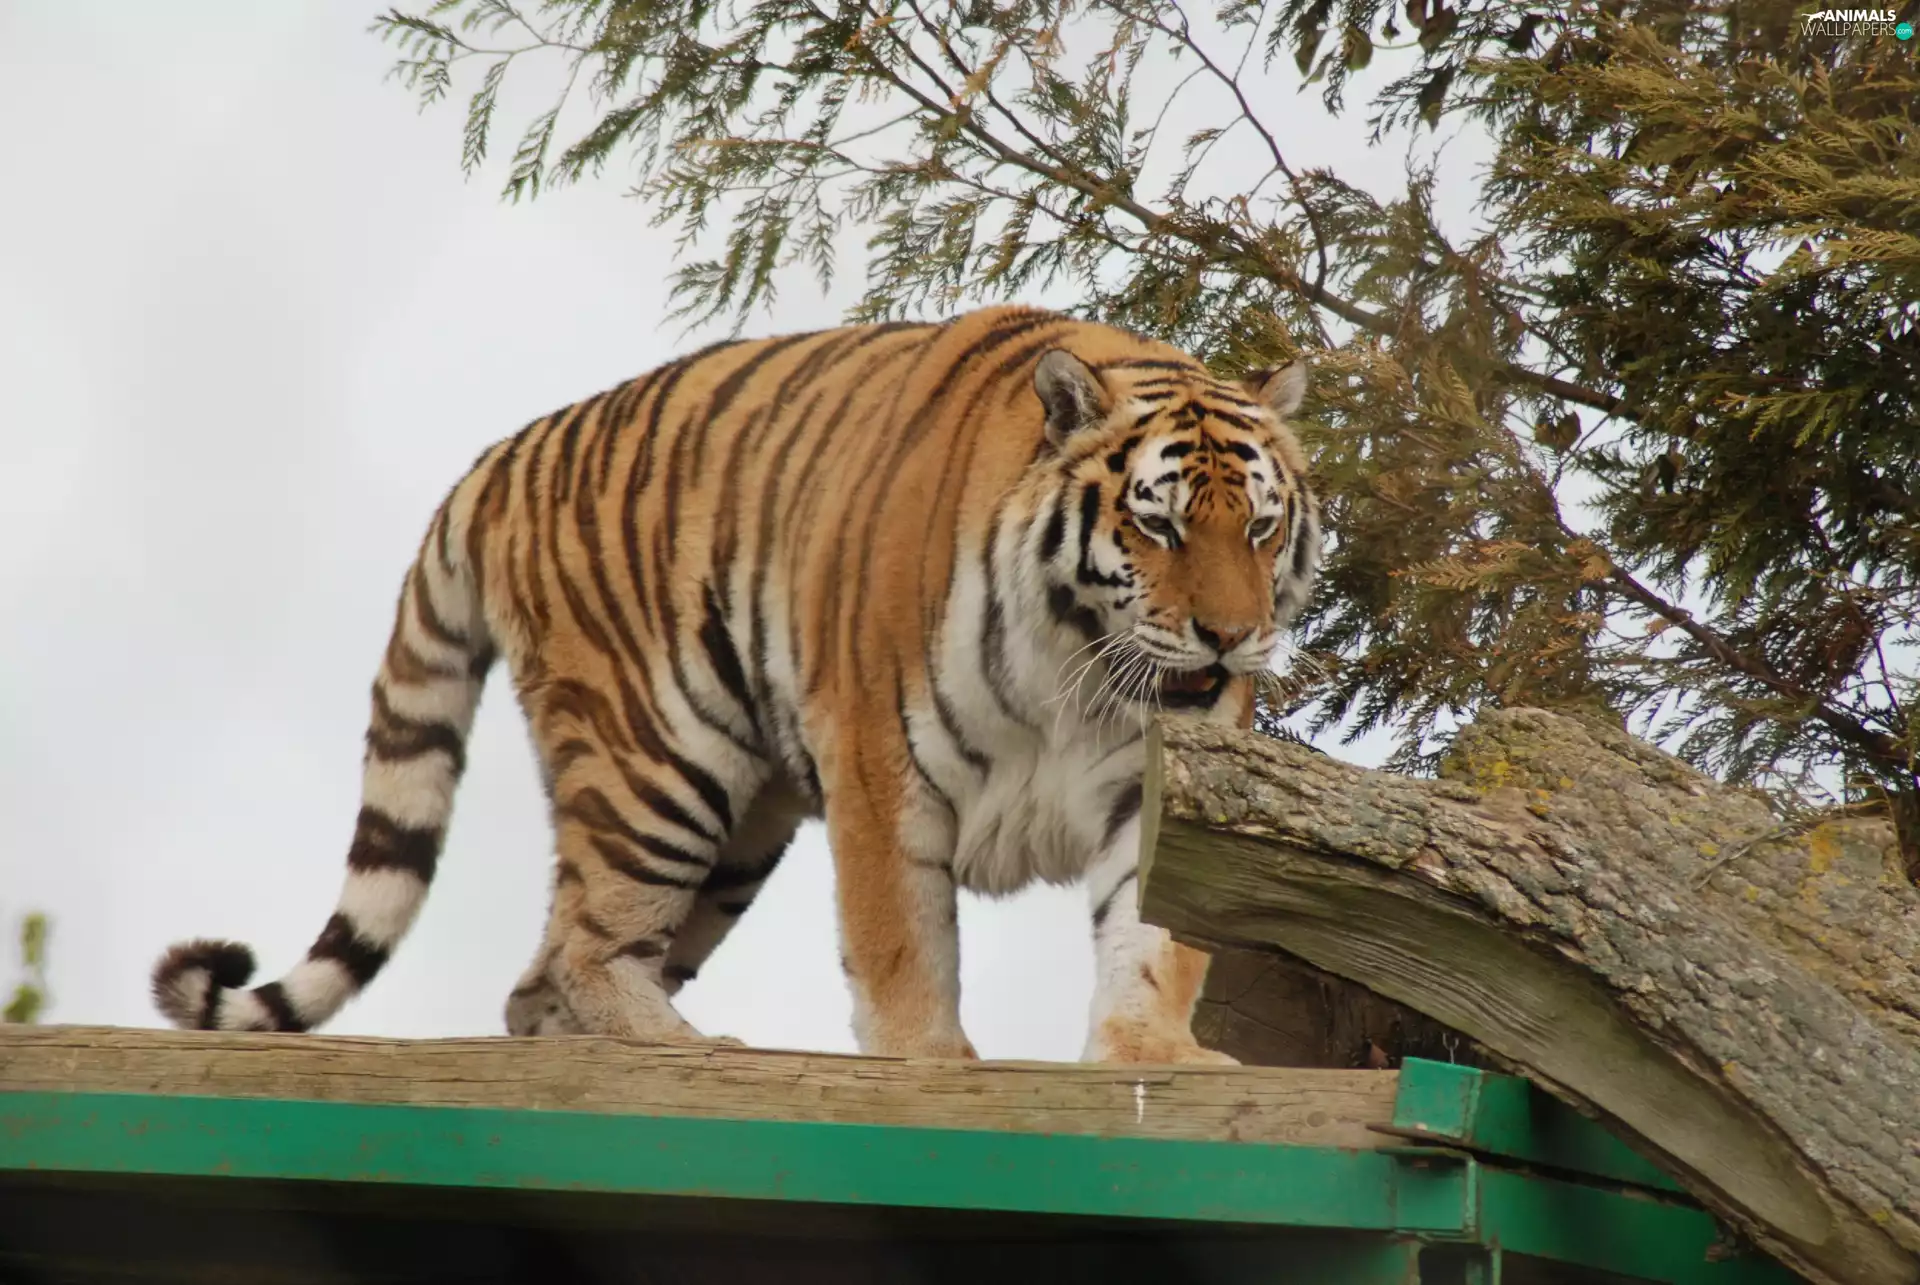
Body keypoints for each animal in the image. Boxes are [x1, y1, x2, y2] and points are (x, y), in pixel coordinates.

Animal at [150, 305, 1321, 1064]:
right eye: (1159, 524)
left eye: (1261, 526)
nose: (1229, 640)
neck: (1076, 661)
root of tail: (498, 455)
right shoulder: (880, 765)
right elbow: (903, 944)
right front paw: (929, 1066)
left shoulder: (1144, 787)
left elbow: (1153, 938)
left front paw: (1153, 1056)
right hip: (658, 766)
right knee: (581, 949)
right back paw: (694, 1050)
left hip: (737, 831)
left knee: (538, 985)